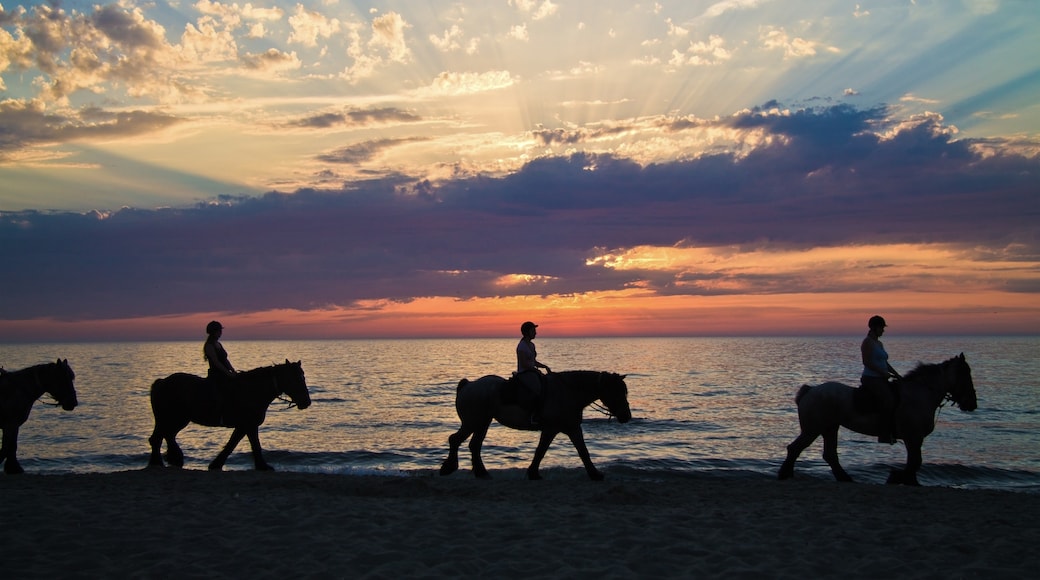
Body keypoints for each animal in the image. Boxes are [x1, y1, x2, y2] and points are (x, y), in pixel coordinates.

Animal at [146, 359, 309, 473]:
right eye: (296, 378)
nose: (306, 402)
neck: (253, 390)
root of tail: (160, 382)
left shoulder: (246, 426)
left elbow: (241, 444)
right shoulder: (247, 425)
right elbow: (244, 445)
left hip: (175, 420)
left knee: (165, 436)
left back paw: (171, 459)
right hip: (173, 419)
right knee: (159, 438)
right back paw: (160, 462)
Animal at [440, 372, 632, 482]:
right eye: (616, 391)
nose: (626, 416)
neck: (567, 391)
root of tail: (468, 385)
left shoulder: (571, 428)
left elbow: (581, 451)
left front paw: (594, 474)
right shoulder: (553, 429)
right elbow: (542, 451)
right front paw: (533, 473)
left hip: (482, 423)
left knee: (474, 445)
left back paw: (481, 473)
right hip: (473, 422)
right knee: (455, 440)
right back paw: (448, 467)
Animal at [782, 355, 973, 486]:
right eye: (966, 375)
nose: (972, 403)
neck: (920, 394)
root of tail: (810, 391)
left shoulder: (914, 439)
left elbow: (914, 462)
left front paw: (905, 479)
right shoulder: (913, 437)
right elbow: (915, 462)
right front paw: (899, 478)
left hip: (830, 428)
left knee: (829, 455)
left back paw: (845, 478)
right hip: (813, 429)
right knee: (795, 448)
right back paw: (785, 474)